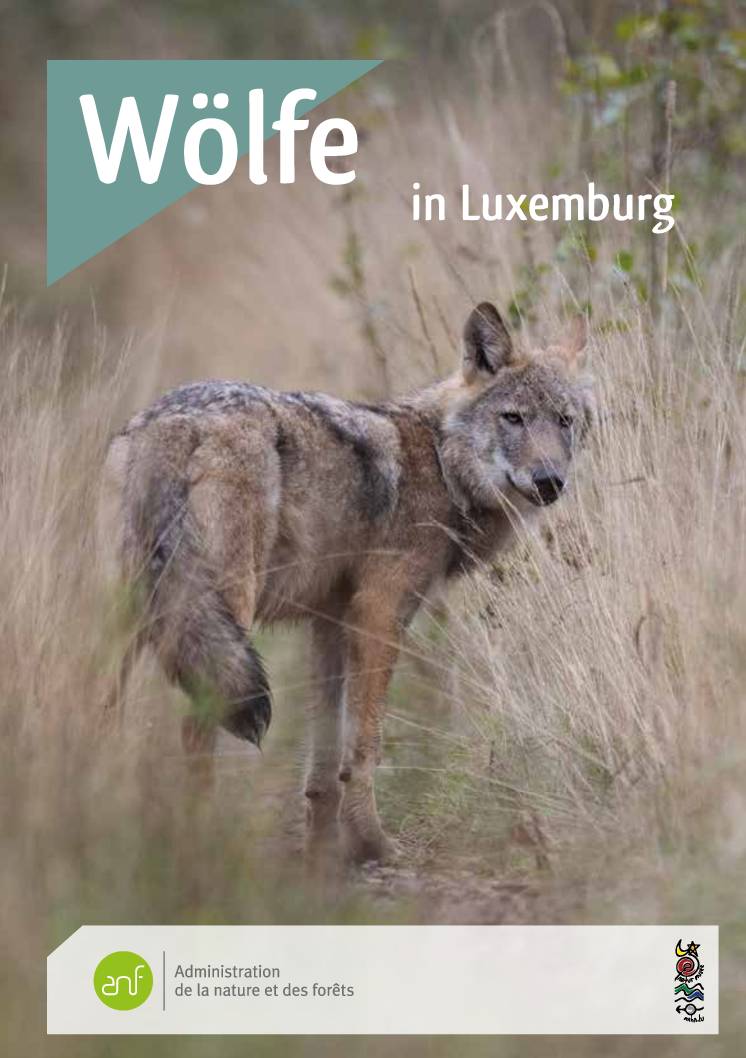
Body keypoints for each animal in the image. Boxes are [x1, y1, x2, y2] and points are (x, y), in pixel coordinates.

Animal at [101, 302, 593, 863]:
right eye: (513, 418)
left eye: (564, 421)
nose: (549, 481)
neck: (440, 463)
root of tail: (175, 420)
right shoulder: (378, 614)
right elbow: (364, 746)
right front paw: (371, 843)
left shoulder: (329, 623)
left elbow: (323, 759)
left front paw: (321, 853)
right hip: (221, 617)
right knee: (192, 727)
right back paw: (197, 841)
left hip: (135, 621)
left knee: (99, 712)